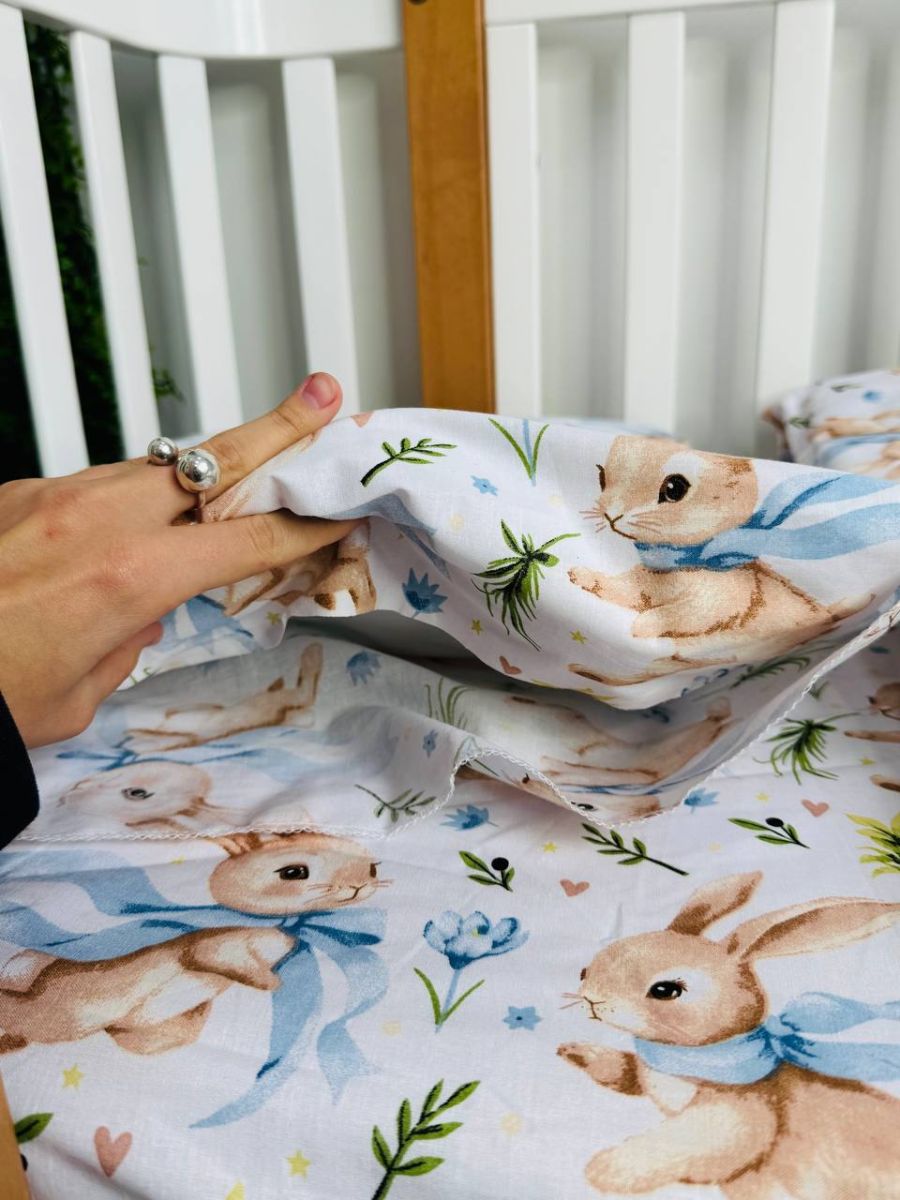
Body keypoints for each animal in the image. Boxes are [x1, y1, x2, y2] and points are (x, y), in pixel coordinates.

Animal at [0, 831, 383, 1057]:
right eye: (293, 872)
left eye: (373, 869)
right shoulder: (212, 950)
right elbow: (231, 964)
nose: (359, 885)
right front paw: (272, 983)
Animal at [558, 871, 900, 1198]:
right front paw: (576, 1053)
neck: (711, 1053)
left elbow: (694, 1140)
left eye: (665, 990)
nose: (592, 998)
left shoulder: (739, 1111)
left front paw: (606, 1168)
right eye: (584, 971)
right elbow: (625, 1072)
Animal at [567, 437, 869, 686]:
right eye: (601, 477)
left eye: (673, 488)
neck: (680, 563)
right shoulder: (642, 586)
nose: (612, 516)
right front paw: (584, 576)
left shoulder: (717, 604)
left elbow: (679, 615)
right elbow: (620, 588)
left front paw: (643, 625)